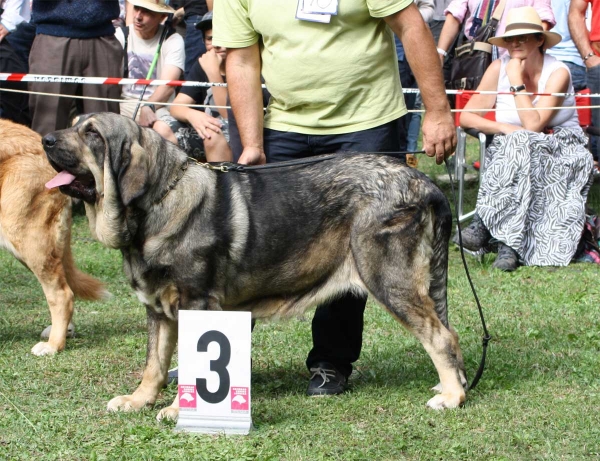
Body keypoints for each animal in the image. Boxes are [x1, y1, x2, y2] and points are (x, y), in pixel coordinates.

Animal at [42, 112, 468, 420]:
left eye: (92, 134)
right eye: (75, 123)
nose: (45, 139)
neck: (158, 201)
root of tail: (422, 181)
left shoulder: (197, 303)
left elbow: (191, 364)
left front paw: (180, 410)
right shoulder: (158, 309)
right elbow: (154, 363)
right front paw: (138, 400)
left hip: (389, 280)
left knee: (441, 337)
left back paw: (451, 396)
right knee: (446, 331)